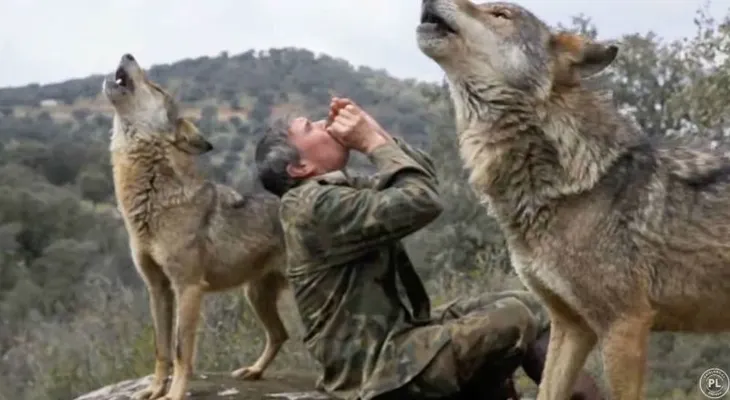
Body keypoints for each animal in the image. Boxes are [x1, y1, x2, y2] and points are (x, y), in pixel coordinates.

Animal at [103, 54, 291, 400]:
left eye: (157, 88)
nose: (128, 55)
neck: (152, 200)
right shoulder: (158, 288)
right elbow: (161, 348)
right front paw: (154, 390)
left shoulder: (188, 288)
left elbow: (180, 351)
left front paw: (175, 394)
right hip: (255, 296)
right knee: (280, 334)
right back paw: (254, 371)